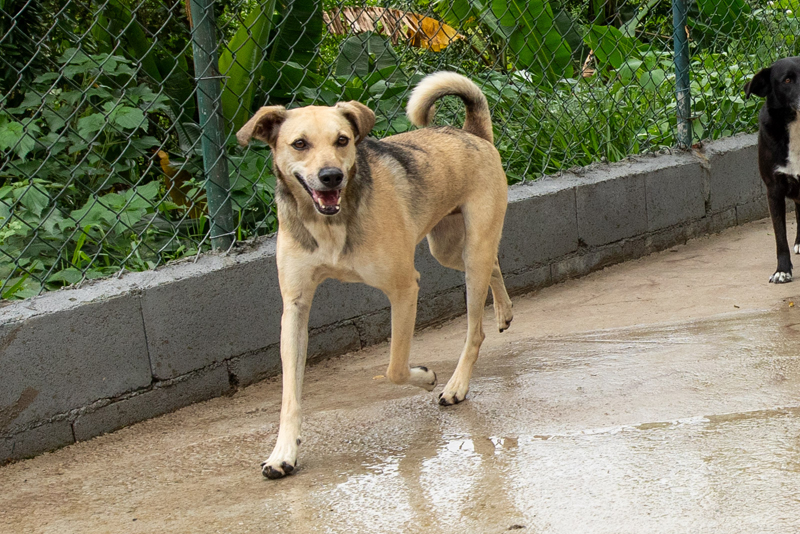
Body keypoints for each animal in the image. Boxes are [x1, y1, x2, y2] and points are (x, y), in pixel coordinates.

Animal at [238, 72, 512, 482]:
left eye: (342, 140)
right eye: (299, 144)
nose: (331, 176)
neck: (331, 223)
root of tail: (472, 133)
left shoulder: (404, 289)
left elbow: (395, 368)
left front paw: (426, 376)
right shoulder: (296, 308)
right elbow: (290, 395)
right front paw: (283, 453)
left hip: (471, 250)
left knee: (474, 328)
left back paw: (457, 384)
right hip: (449, 250)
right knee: (493, 263)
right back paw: (504, 312)